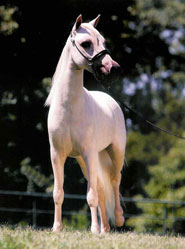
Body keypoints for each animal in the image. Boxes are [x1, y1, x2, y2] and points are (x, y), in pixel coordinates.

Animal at [45, 15, 126, 233]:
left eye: (104, 42)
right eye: (86, 43)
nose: (113, 69)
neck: (69, 108)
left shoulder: (89, 153)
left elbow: (91, 196)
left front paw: (93, 230)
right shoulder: (57, 155)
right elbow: (58, 193)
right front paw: (56, 228)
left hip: (115, 152)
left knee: (114, 181)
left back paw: (117, 220)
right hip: (84, 160)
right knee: (100, 188)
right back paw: (105, 229)